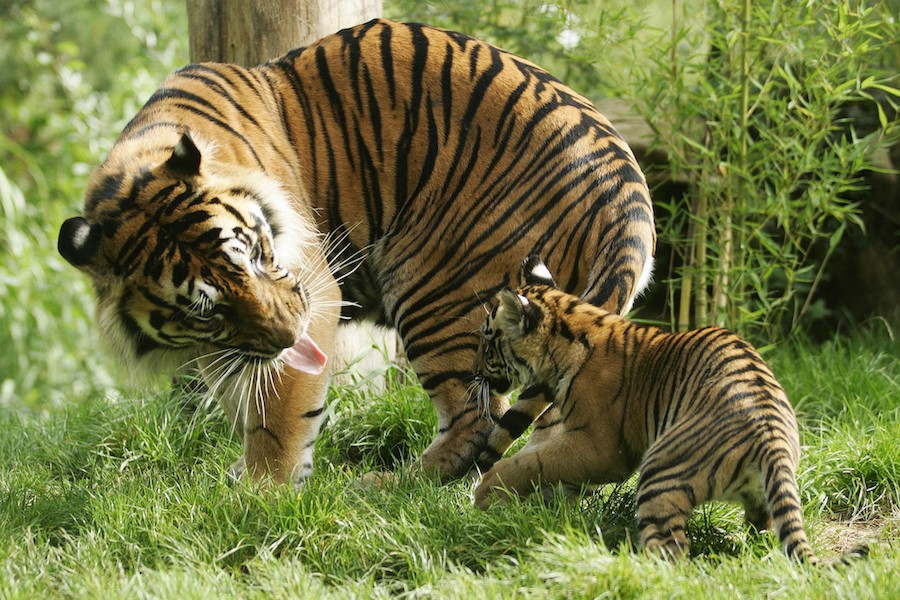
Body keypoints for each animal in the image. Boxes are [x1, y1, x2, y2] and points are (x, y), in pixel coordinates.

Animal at [61, 19, 652, 488]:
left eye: (252, 256)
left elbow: (278, 409)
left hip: (438, 291)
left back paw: (389, 486)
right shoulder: (228, 342)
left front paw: (262, 493)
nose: (289, 336)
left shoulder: (312, 288)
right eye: (204, 309)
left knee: (476, 418)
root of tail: (623, 183)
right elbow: (241, 391)